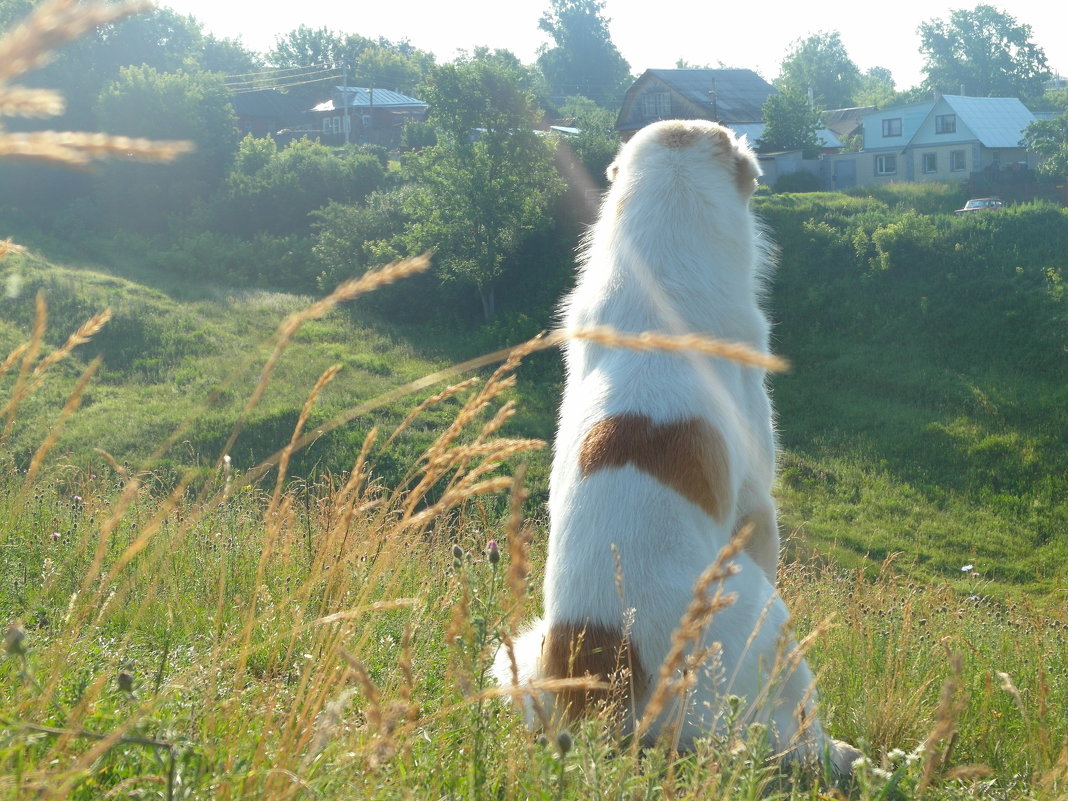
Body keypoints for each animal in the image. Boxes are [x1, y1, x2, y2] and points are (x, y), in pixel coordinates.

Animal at [491, 119, 858, 777]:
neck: (662, 279)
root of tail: (609, 701)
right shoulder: (757, 503)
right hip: (771, 619)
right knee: (799, 739)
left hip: (524, 653)